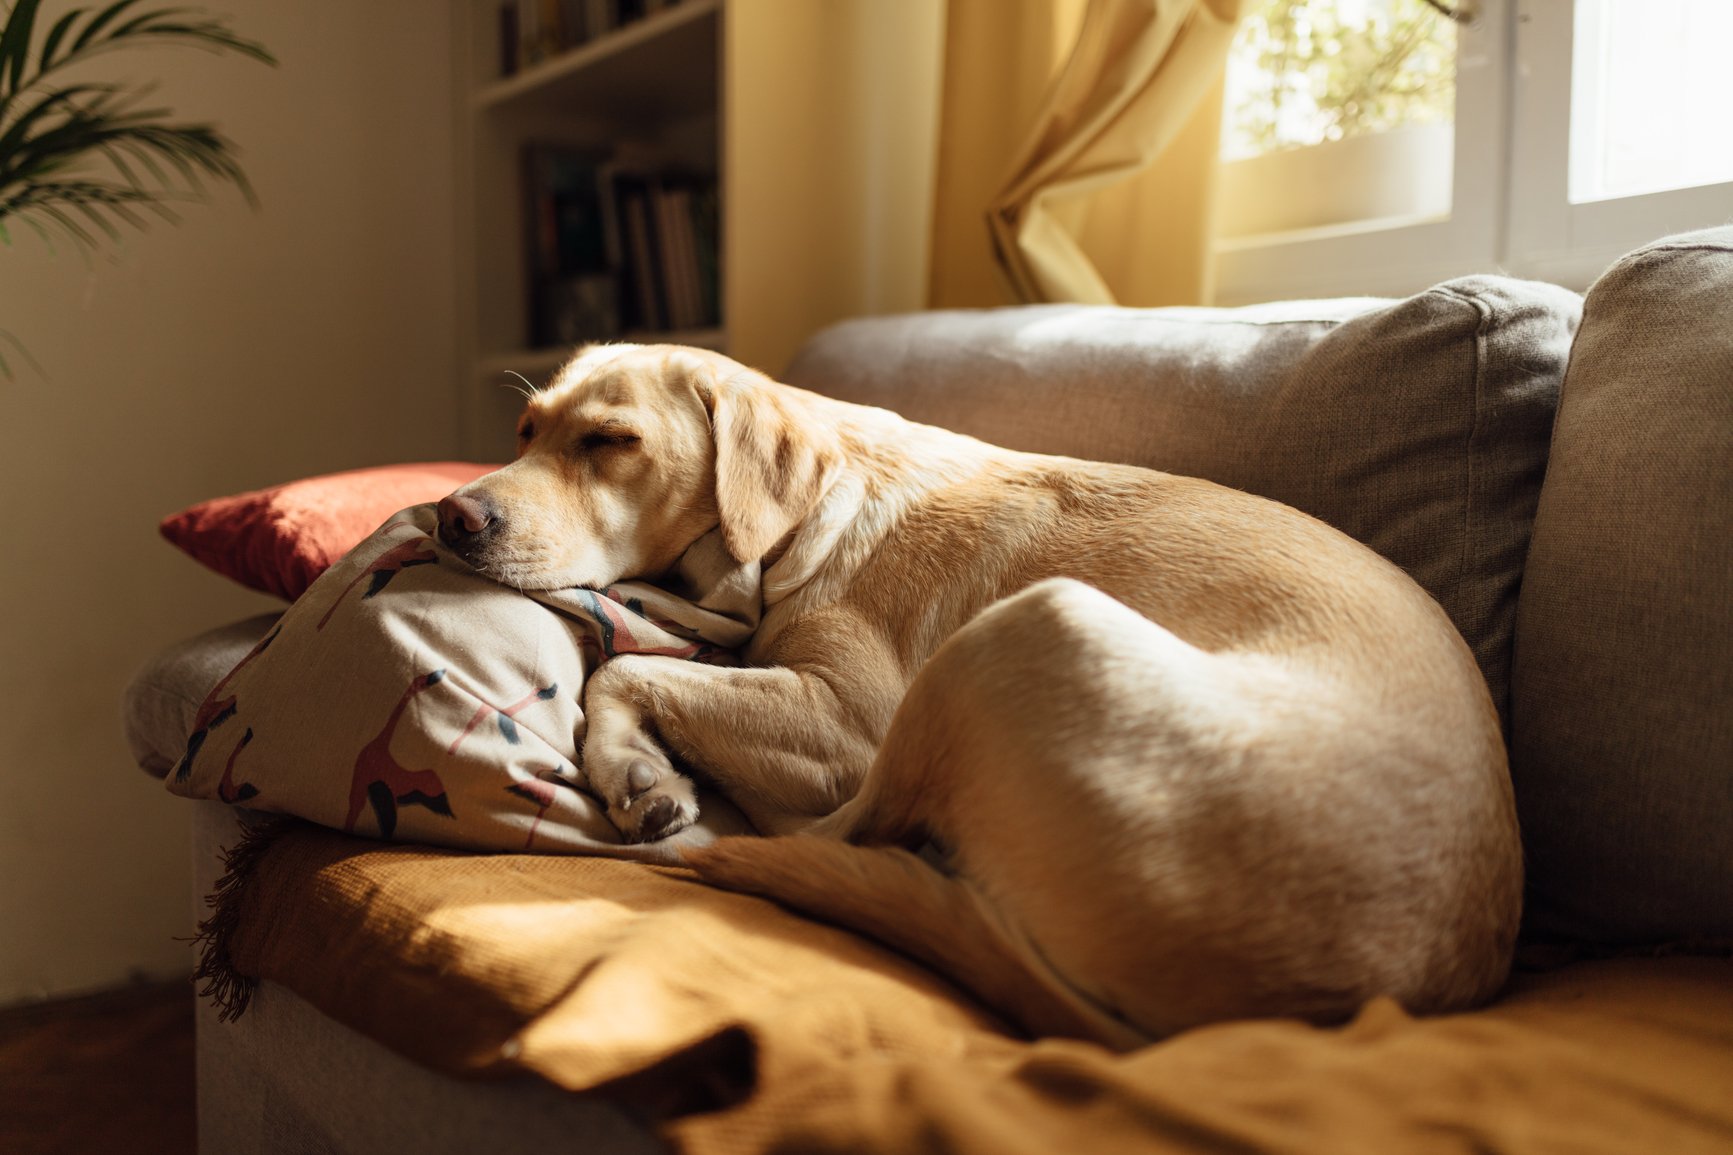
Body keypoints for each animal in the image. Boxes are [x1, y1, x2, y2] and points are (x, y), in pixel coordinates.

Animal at [440, 339, 1525, 1040]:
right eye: (525, 429)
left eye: (610, 442)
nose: (453, 514)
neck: (802, 518)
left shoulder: (849, 728)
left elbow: (624, 664)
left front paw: (634, 768)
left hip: (1017, 632)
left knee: (838, 836)